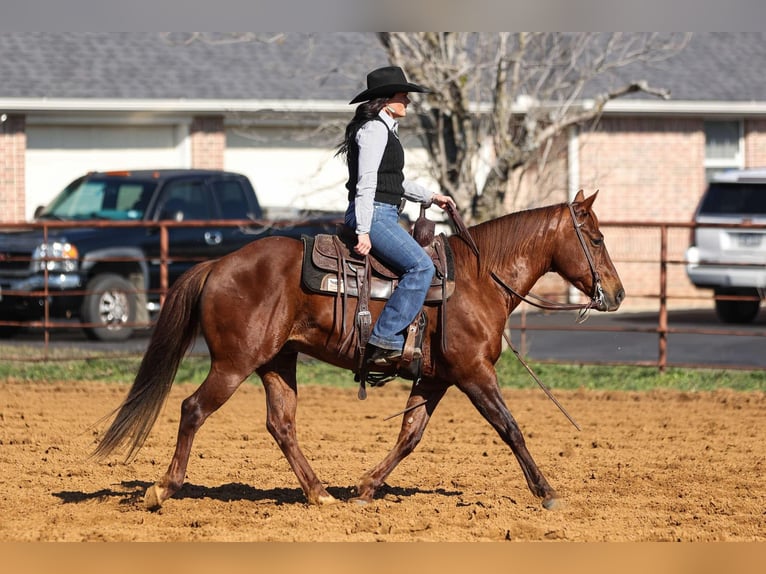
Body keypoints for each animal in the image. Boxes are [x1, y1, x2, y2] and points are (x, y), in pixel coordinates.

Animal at [94, 191, 624, 510]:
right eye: (597, 238)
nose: (617, 294)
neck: (477, 278)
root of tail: (218, 264)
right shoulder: (474, 373)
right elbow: (510, 428)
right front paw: (547, 491)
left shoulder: (436, 378)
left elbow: (410, 435)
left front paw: (366, 487)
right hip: (233, 364)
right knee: (193, 409)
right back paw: (162, 488)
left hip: (276, 361)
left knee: (281, 424)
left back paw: (320, 494)